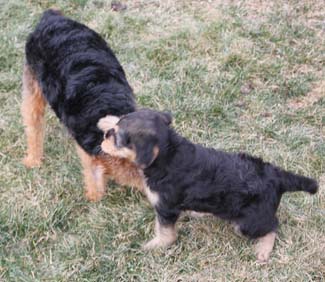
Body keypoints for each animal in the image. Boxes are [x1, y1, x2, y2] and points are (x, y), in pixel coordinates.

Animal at [20, 9, 142, 202]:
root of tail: (50, 16)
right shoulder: (88, 151)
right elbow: (92, 174)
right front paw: (93, 197)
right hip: (33, 86)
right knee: (33, 124)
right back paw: (32, 160)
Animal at [98, 109, 316, 262]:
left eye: (118, 138)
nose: (106, 136)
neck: (167, 155)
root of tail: (276, 175)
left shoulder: (166, 208)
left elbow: (165, 231)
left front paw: (155, 245)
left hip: (248, 221)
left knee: (272, 227)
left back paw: (263, 249)